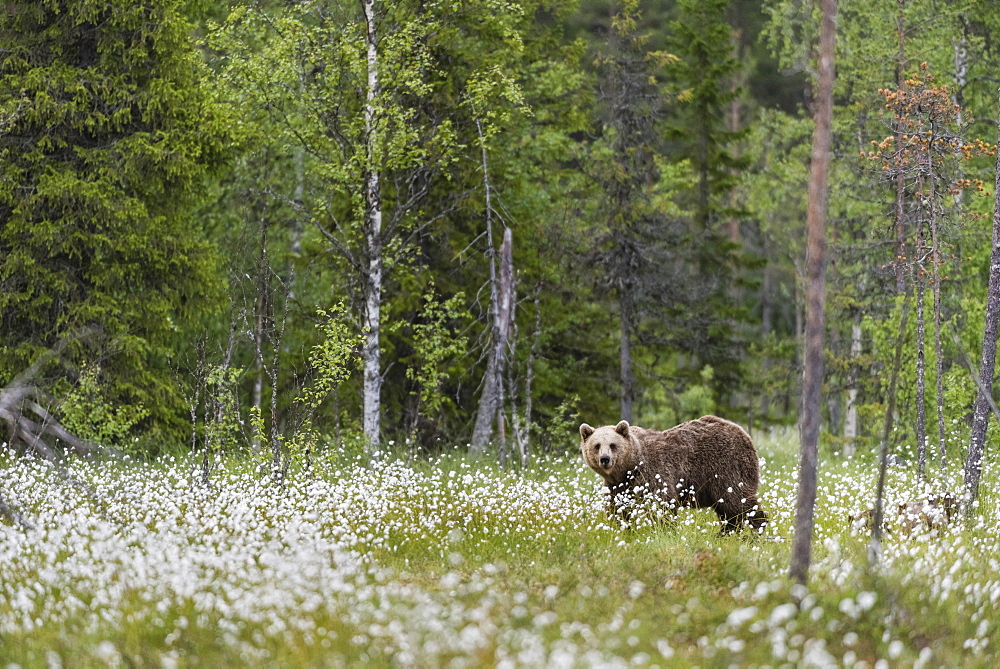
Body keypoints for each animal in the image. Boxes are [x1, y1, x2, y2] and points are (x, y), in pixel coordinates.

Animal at [580, 412, 764, 532]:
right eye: (596, 445)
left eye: (613, 445)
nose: (605, 459)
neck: (628, 468)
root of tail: (742, 432)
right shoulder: (616, 486)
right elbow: (617, 509)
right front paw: (625, 530)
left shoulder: (653, 473)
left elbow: (662, 503)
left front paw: (665, 529)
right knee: (727, 510)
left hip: (726, 467)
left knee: (737, 502)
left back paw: (756, 531)